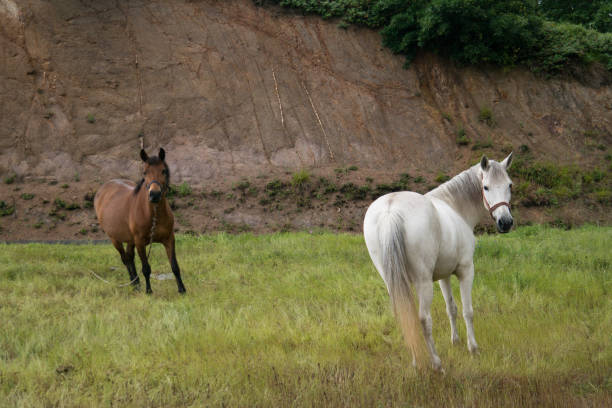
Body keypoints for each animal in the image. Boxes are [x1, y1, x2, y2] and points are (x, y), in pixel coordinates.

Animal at [94, 148, 186, 294]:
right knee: (125, 259)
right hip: (115, 239)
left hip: (130, 240)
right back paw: (134, 283)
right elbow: (146, 268)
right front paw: (149, 291)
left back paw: (136, 284)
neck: (153, 213)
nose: (154, 194)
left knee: (129, 257)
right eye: (144, 172)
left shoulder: (169, 239)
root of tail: (103, 189)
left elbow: (175, 266)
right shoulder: (139, 242)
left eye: (163, 170)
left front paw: (182, 289)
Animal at [366, 153, 512, 370]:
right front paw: (473, 348)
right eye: (485, 187)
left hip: (393, 282)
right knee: (424, 320)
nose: (506, 222)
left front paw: (456, 341)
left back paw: (416, 362)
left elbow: (451, 308)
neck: (455, 207)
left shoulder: (444, 276)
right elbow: (468, 311)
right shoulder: (466, 271)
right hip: (423, 283)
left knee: (406, 317)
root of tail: (390, 211)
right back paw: (436, 364)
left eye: (509, 185)